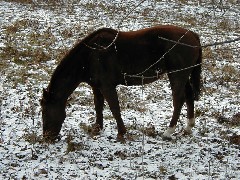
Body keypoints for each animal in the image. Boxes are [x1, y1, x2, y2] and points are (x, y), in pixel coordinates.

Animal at [40, 24, 202, 141]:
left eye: (45, 112)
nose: (47, 138)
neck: (91, 55)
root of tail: (193, 35)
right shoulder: (96, 87)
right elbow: (98, 106)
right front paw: (97, 128)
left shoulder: (107, 87)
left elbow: (114, 108)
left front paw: (121, 133)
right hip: (183, 75)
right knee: (188, 96)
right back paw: (188, 127)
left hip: (177, 76)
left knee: (179, 100)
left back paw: (169, 132)